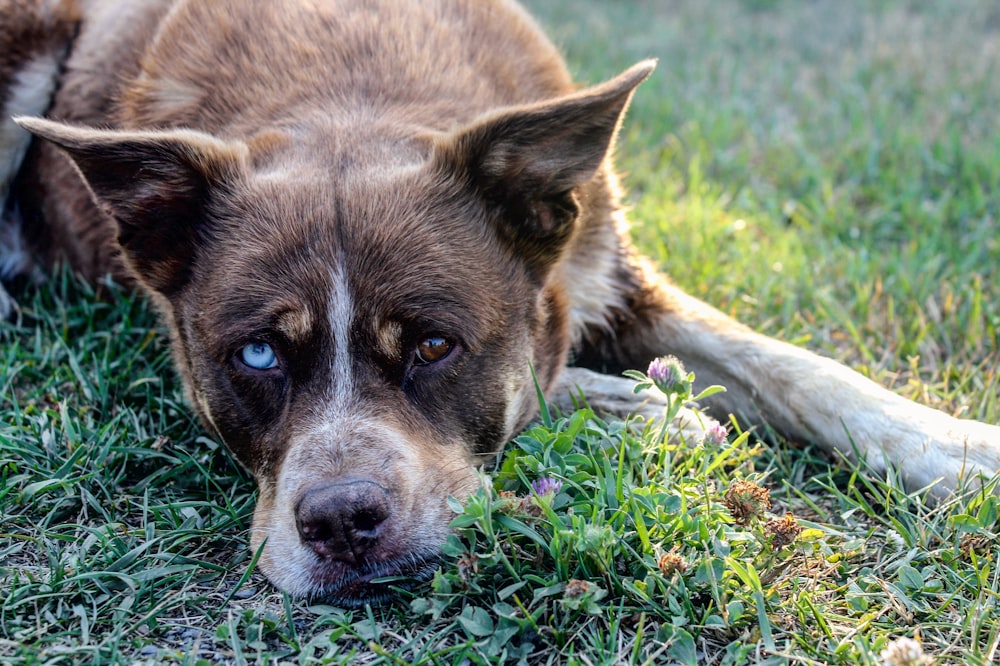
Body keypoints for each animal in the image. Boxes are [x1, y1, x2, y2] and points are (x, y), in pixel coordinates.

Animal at [1, 0, 1000, 604]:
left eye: (434, 346)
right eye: (257, 355)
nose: (341, 523)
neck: (348, 94)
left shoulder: (609, 265)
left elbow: (799, 369)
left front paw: (961, 449)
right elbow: (554, 387)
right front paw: (650, 413)